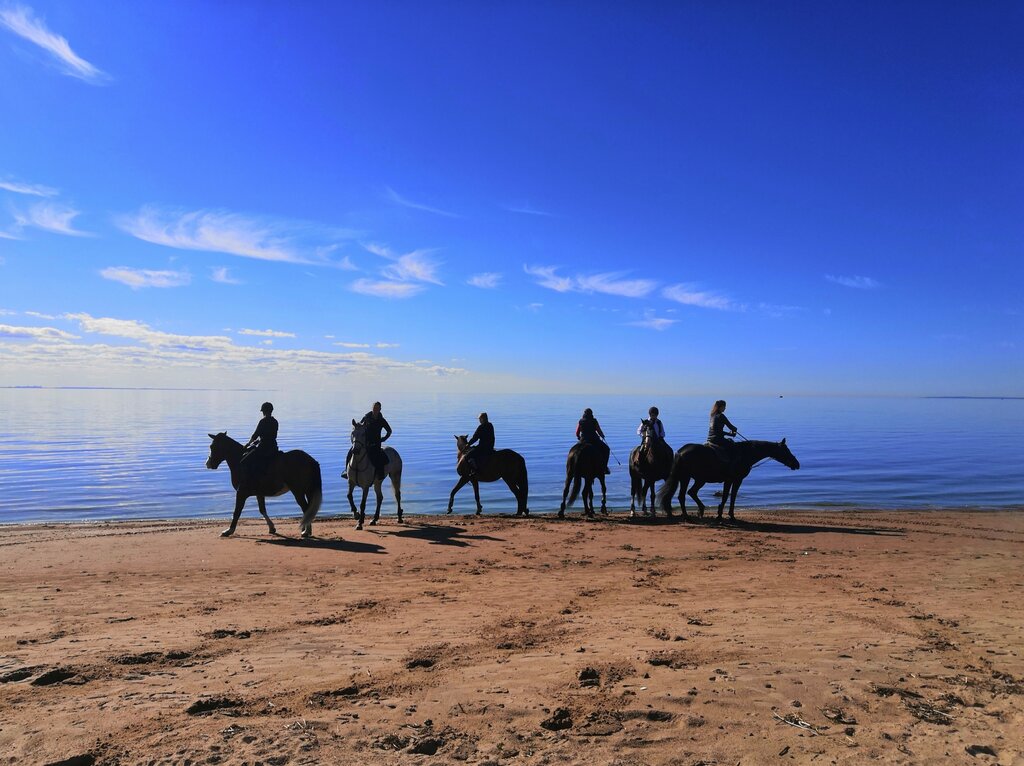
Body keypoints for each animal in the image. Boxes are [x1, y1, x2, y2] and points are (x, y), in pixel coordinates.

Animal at [655, 436, 798, 520]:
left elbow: (727, 496)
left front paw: (721, 513)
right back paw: (687, 515)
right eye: (786, 450)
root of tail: (680, 452)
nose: (796, 464)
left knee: (690, 493)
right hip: (687, 478)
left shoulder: (730, 480)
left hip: (696, 479)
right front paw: (727, 515)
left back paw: (700, 510)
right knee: (683, 495)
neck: (745, 454)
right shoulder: (735, 480)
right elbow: (730, 496)